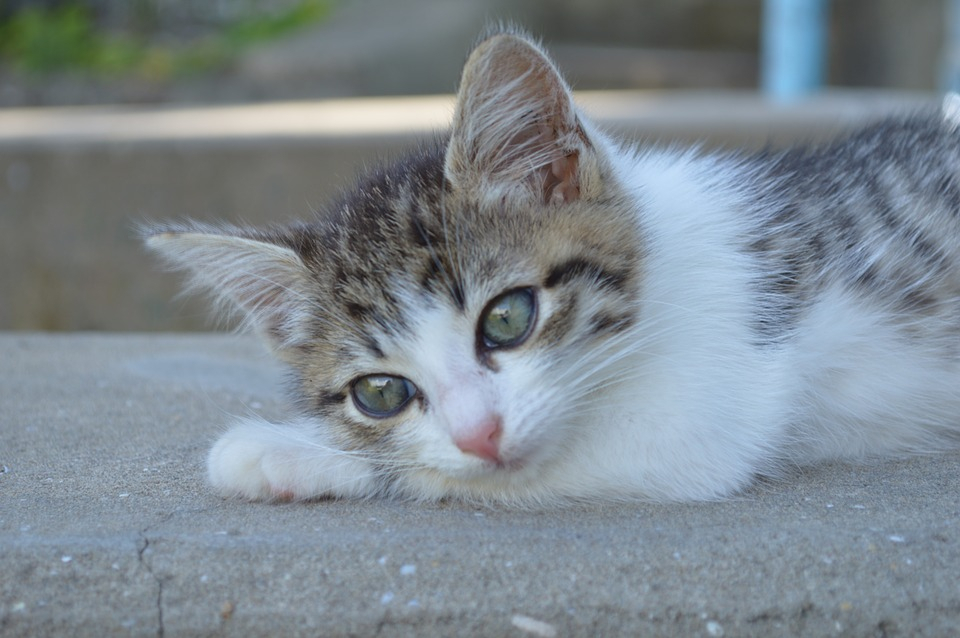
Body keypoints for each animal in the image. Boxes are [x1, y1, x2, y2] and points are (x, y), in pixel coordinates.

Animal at [146, 27, 960, 508]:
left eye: (507, 318)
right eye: (381, 393)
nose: (480, 434)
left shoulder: (704, 414)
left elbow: (464, 477)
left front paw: (279, 448)